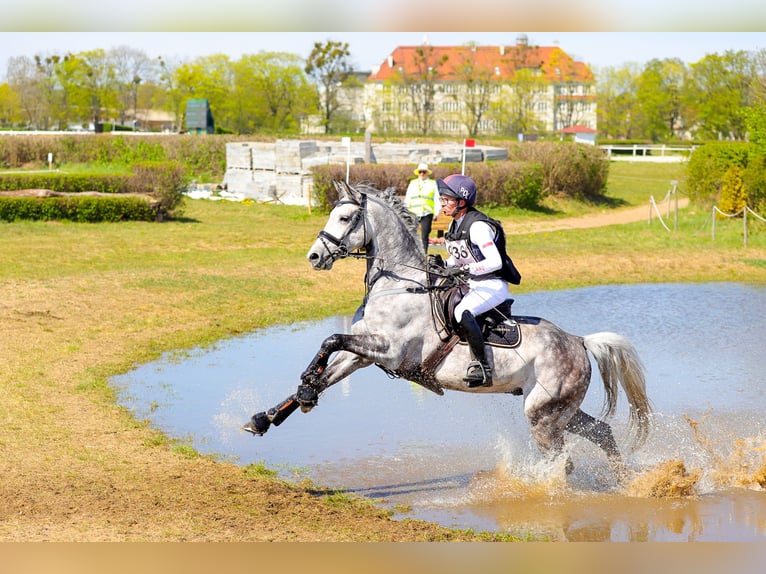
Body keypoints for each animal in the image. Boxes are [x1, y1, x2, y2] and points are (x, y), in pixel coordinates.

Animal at [243, 181, 652, 477]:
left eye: (345, 219)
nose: (314, 256)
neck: (398, 281)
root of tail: (580, 342)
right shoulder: (365, 354)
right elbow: (328, 364)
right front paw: (275, 411)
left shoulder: (388, 348)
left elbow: (330, 339)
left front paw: (304, 389)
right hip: (557, 408)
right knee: (602, 433)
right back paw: (623, 483)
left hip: (544, 416)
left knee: (563, 461)